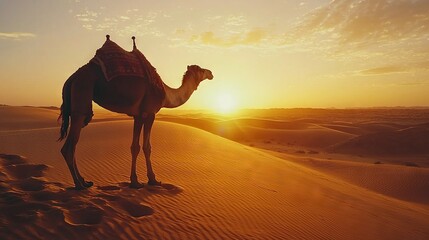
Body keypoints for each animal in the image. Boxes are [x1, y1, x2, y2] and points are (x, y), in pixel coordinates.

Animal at [59, 35, 214, 189]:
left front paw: (134, 181)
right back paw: (79, 184)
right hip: (82, 93)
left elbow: (134, 146)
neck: (166, 93)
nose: (211, 73)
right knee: (69, 147)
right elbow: (147, 147)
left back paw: (84, 181)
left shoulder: (138, 115)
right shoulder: (150, 113)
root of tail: (71, 78)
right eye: (201, 69)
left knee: (73, 144)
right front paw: (152, 179)